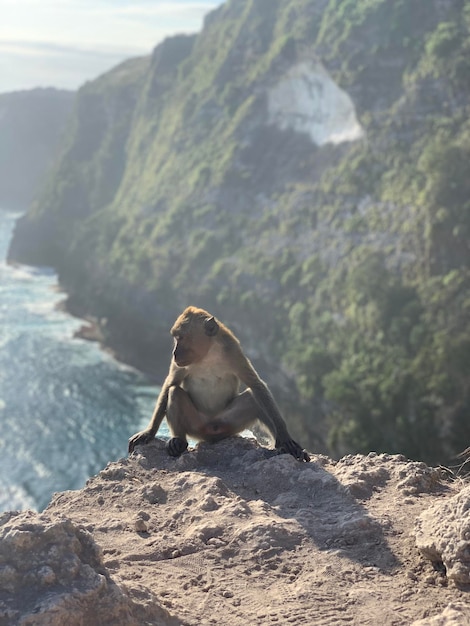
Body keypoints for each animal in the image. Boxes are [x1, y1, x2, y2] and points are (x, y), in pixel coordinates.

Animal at [129, 304, 310, 460]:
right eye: (176, 338)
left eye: (181, 337)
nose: (174, 352)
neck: (208, 354)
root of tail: (210, 432)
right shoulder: (181, 364)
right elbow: (170, 384)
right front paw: (149, 432)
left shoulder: (233, 351)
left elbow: (256, 385)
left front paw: (284, 436)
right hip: (196, 425)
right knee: (175, 392)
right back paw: (178, 441)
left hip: (230, 423)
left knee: (254, 398)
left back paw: (281, 444)